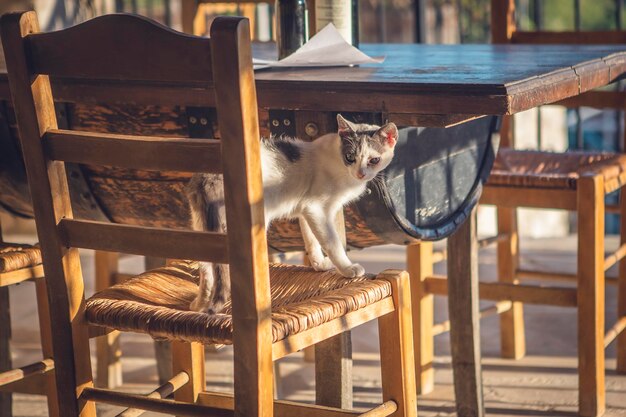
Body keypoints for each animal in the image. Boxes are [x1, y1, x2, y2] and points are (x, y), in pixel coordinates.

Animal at [184, 114, 394, 312]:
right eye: (350, 157)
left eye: (374, 160)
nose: (361, 173)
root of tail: (208, 176)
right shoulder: (316, 208)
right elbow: (331, 242)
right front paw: (347, 268)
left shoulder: (307, 210)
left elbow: (312, 240)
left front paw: (319, 264)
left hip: (201, 225)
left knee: (207, 267)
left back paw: (200, 304)